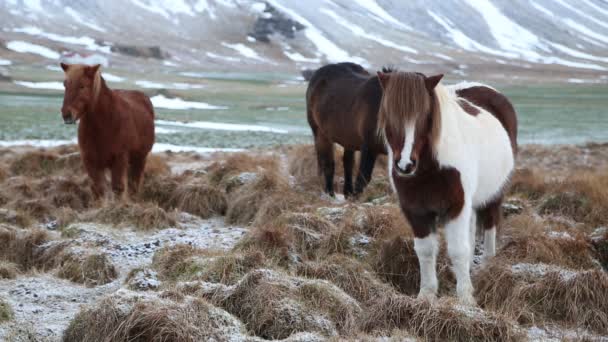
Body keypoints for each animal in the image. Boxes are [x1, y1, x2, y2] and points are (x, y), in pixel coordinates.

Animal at [60, 63, 154, 200]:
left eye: (82, 86)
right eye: (65, 85)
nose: (66, 115)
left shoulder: (119, 160)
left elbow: (118, 188)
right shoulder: (91, 161)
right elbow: (98, 189)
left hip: (139, 158)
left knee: (134, 185)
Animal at [306, 63, 388, 198]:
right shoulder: (369, 147)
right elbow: (363, 178)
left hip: (349, 140)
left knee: (347, 163)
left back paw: (347, 192)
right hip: (321, 134)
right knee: (328, 164)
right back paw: (330, 193)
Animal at [378, 71, 516, 304]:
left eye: (426, 115)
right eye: (388, 114)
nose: (405, 165)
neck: (430, 170)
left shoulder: (457, 206)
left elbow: (458, 250)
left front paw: (466, 299)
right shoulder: (416, 211)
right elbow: (425, 251)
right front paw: (426, 294)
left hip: (493, 195)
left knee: (489, 224)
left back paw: (486, 265)